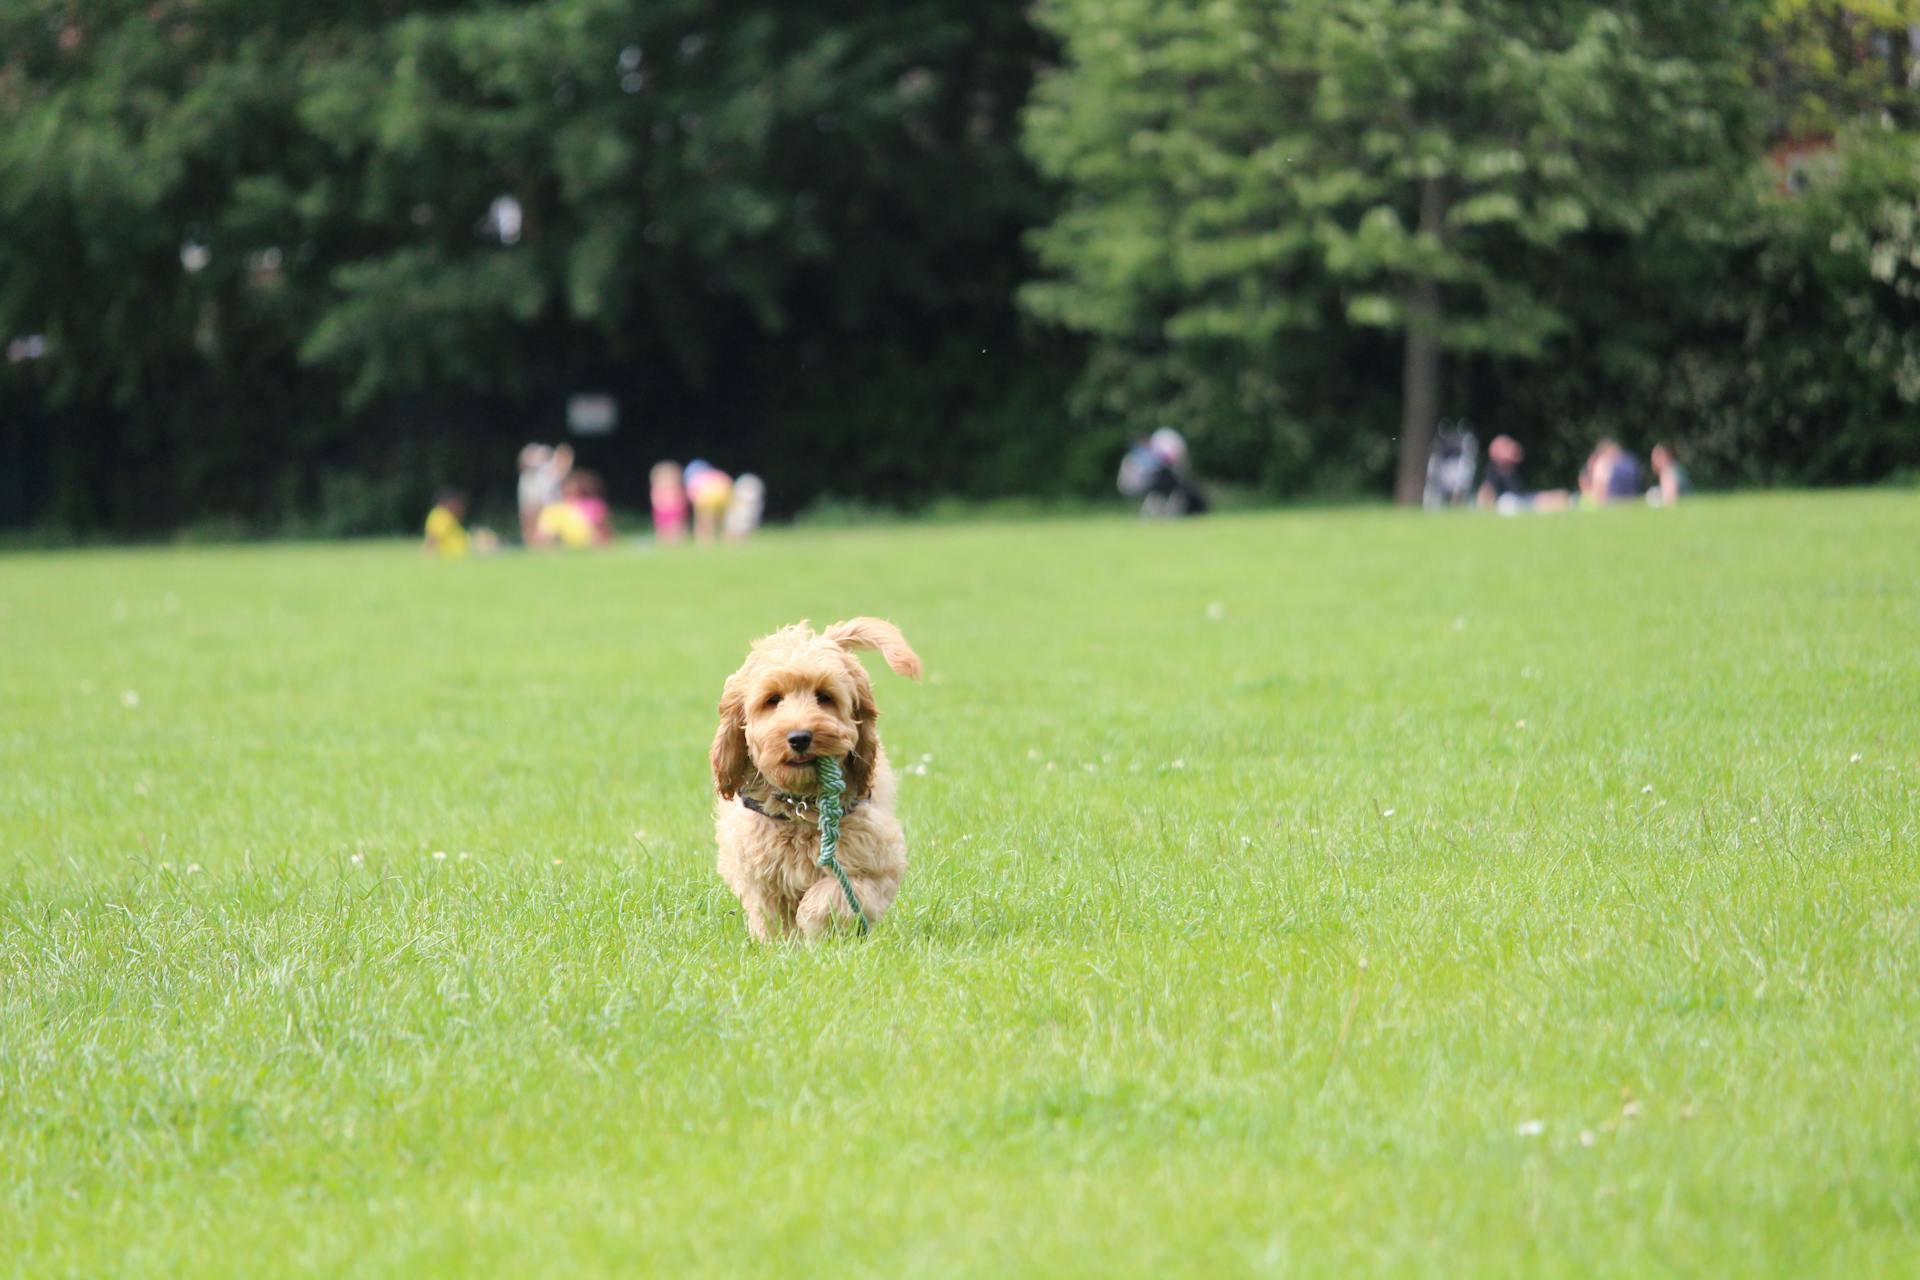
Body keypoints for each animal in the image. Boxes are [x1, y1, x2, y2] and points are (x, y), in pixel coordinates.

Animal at [714, 621, 921, 940]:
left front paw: (815, 927)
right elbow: (774, 918)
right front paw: (785, 945)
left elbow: (829, 896)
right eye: (773, 699)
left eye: (824, 696)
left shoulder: (875, 862)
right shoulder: (760, 874)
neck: (800, 806)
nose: (800, 738)